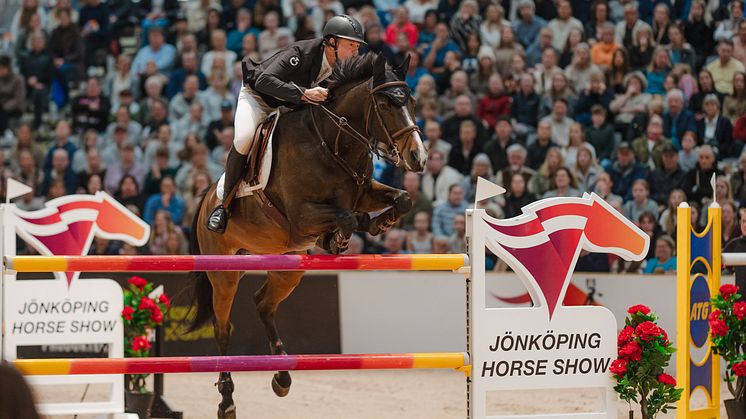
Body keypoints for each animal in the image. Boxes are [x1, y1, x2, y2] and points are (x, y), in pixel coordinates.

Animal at [189, 53, 428, 419]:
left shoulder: (362, 191)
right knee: (222, 326)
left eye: (412, 102)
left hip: (288, 266)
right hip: (224, 272)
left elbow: (402, 199)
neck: (333, 143)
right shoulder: (302, 218)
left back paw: (282, 377)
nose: (419, 158)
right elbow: (348, 216)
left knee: (263, 304)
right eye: (386, 104)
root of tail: (203, 200)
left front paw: (377, 226)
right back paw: (227, 400)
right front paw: (339, 238)